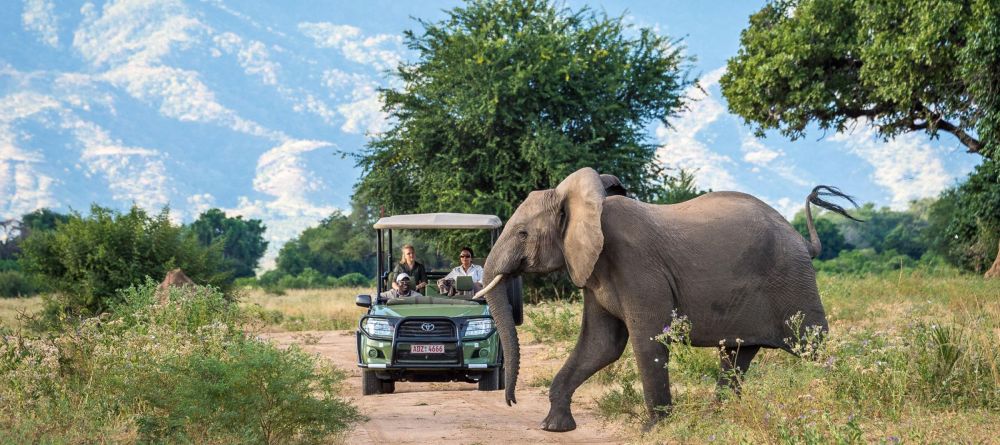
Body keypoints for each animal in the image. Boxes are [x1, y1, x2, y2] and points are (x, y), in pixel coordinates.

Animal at [476, 166, 860, 430]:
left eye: (522, 233)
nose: (510, 401)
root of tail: (803, 241)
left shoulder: (635, 264)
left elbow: (647, 341)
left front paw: (652, 429)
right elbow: (600, 345)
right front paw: (553, 427)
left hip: (793, 280)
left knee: (814, 346)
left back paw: (845, 395)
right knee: (737, 356)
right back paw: (717, 418)